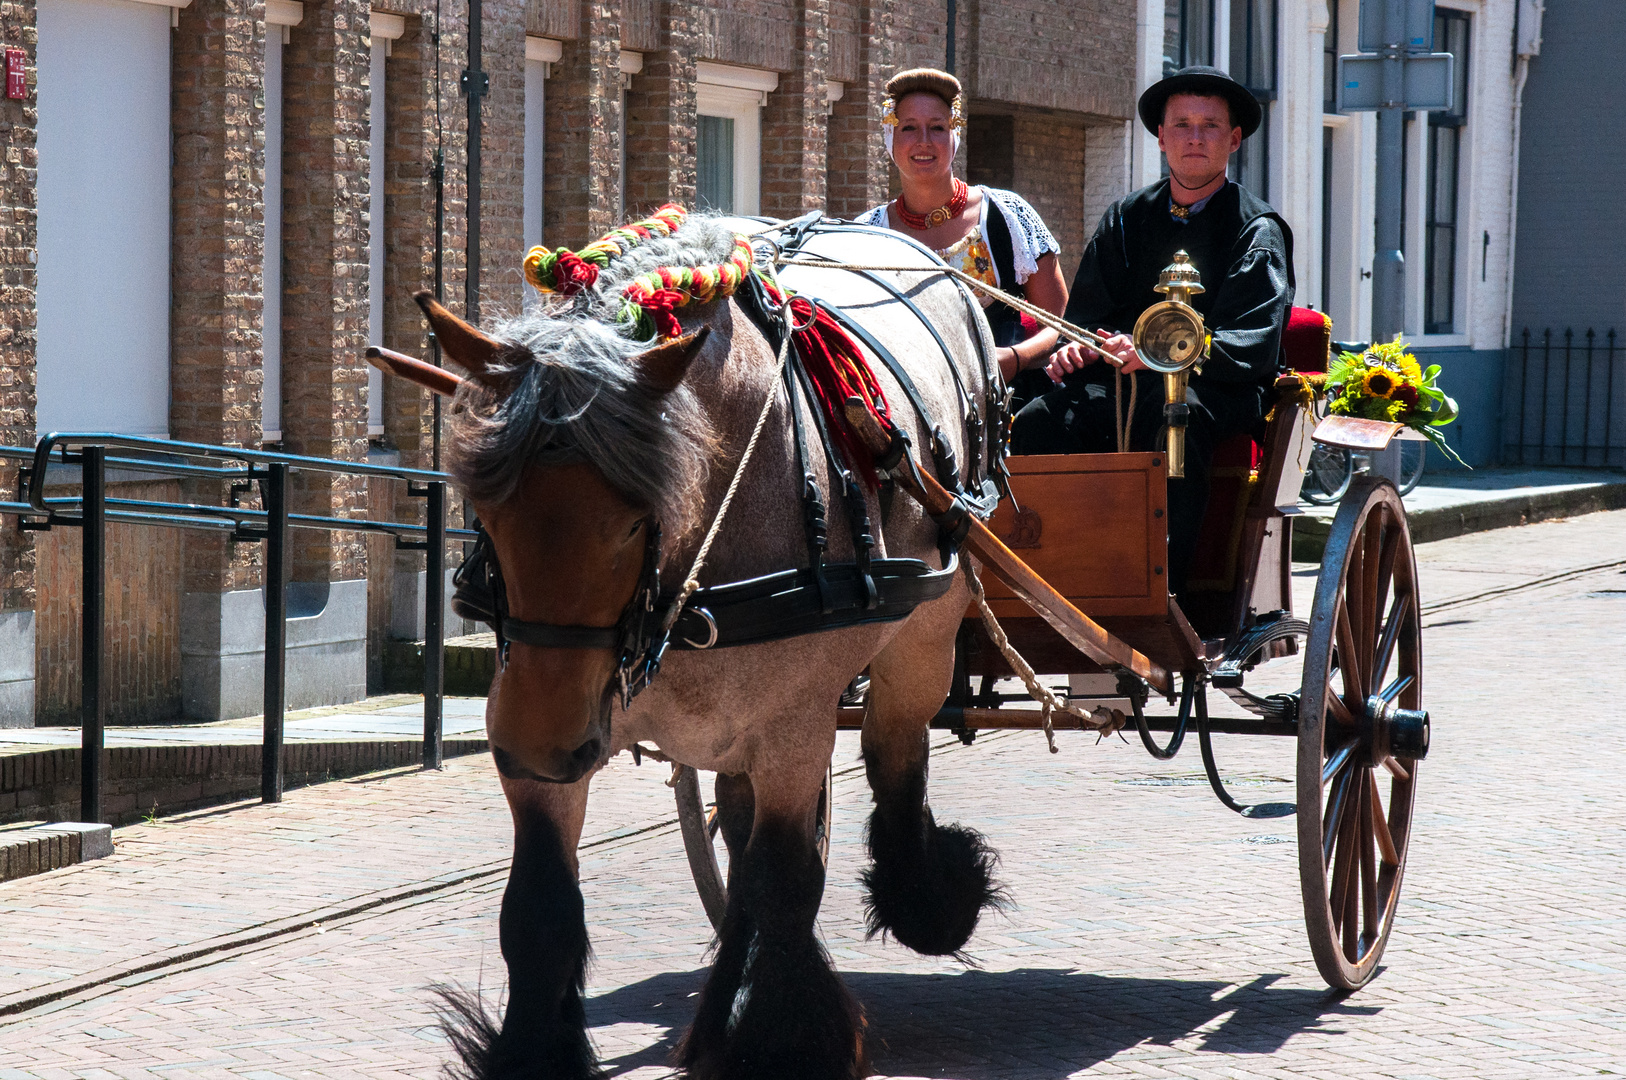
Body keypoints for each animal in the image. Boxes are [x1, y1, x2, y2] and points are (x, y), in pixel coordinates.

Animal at [386, 213, 1008, 1080]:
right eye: (487, 508)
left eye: (634, 522)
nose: (542, 742)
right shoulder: (544, 727)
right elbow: (540, 909)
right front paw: (538, 1049)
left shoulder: (793, 729)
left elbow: (783, 881)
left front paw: (777, 1043)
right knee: (743, 830)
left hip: (926, 630)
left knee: (895, 750)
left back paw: (927, 900)